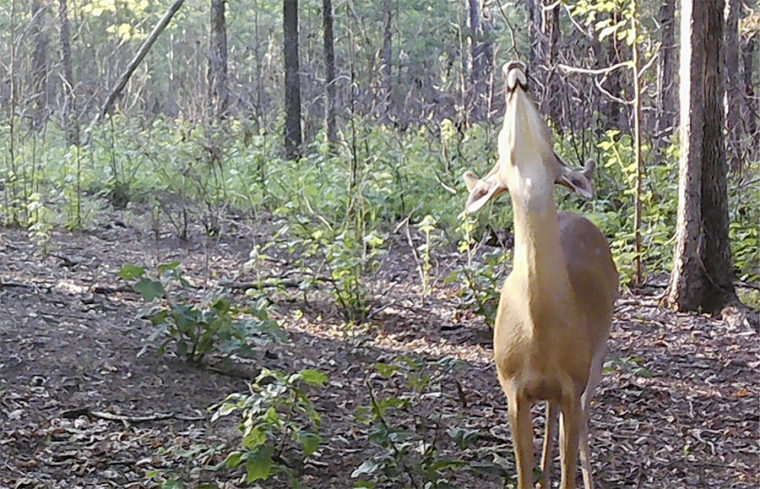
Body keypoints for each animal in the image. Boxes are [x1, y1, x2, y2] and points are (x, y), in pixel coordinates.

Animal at [464, 61, 616, 488]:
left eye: (546, 127)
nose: (515, 68)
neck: (539, 331)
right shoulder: (512, 390)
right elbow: (523, 474)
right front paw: (539, 475)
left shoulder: (573, 382)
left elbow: (569, 459)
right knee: (553, 419)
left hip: (598, 355)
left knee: (583, 421)